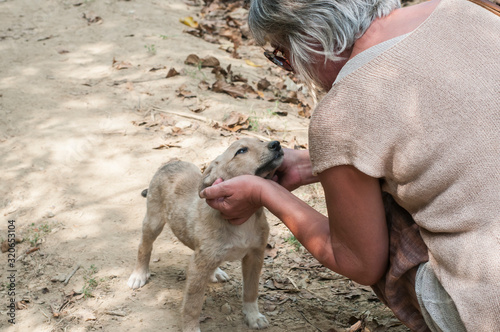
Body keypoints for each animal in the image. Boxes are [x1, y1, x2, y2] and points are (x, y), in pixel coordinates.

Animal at [127, 138, 284, 332]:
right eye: (241, 151)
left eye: (261, 141)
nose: (276, 144)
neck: (243, 221)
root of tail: (171, 163)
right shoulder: (197, 267)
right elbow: (192, 304)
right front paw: (190, 328)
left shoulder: (255, 255)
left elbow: (251, 290)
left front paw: (253, 316)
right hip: (153, 221)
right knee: (144, 247)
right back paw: (139, 275)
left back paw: (215, 272)